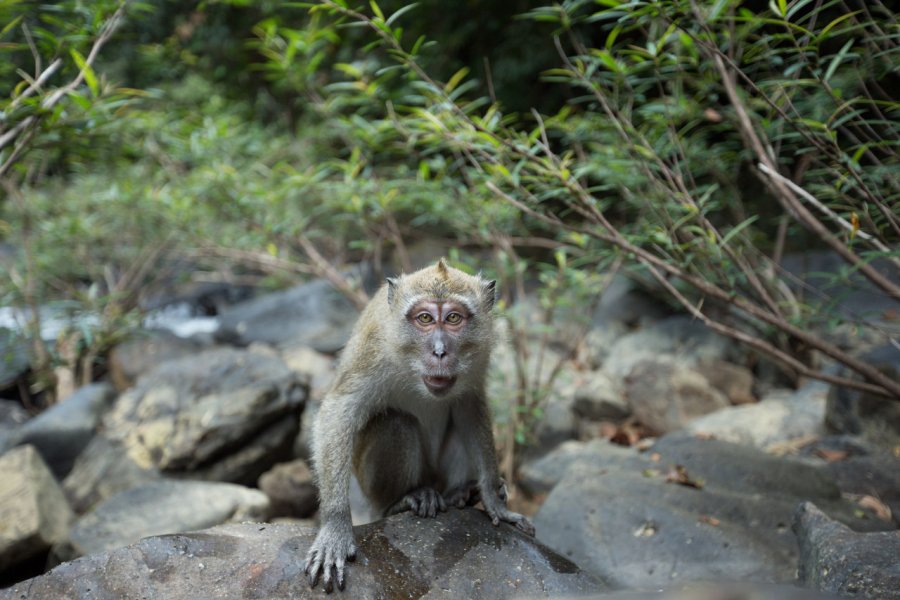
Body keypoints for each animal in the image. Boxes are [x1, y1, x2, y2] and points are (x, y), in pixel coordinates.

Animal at [306, 258, 536, 592]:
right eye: (425, 318)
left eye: (453, 318)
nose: (439, 351)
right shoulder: (373, 348)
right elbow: (339, 411)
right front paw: (335, 527)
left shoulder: (478, 357)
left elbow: (470, 408)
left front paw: (493, 498)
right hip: (373, 487)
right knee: (396, 423)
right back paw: (404, 501)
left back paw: (459, 494)